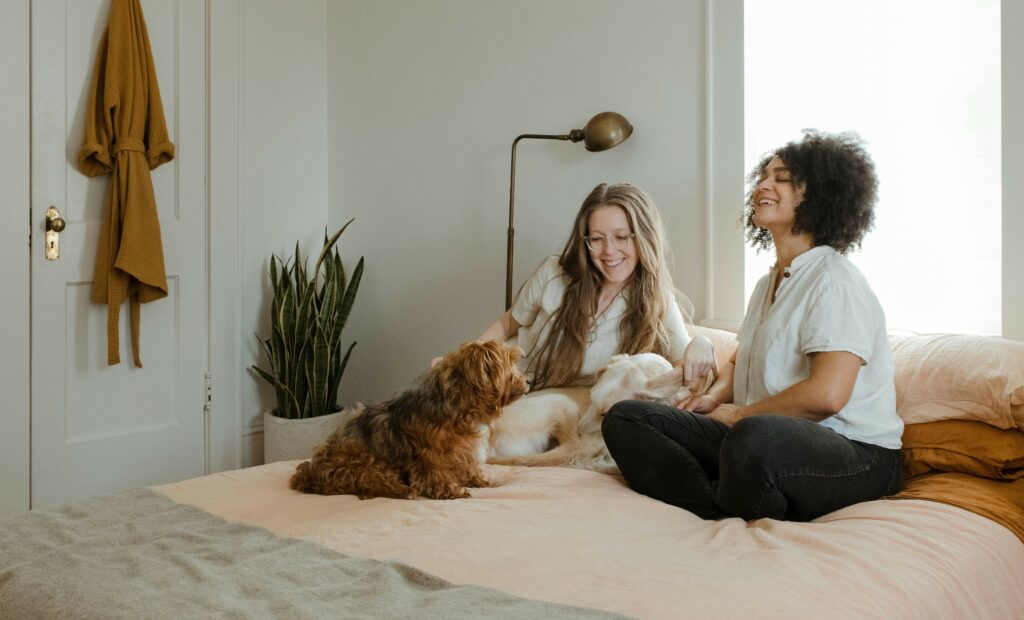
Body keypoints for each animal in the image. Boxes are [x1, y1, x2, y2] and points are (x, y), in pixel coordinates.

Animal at [290, 340, 524, 500]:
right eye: (510, 366)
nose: (527, 380)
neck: (460, 409)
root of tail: (311, 473)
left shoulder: (463, 451)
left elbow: (468, 467)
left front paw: (479, 481)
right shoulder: (430, 455)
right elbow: (436, 473)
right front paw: (452, 490)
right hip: (365, 462)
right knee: (371, 482)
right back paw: (404, 490)